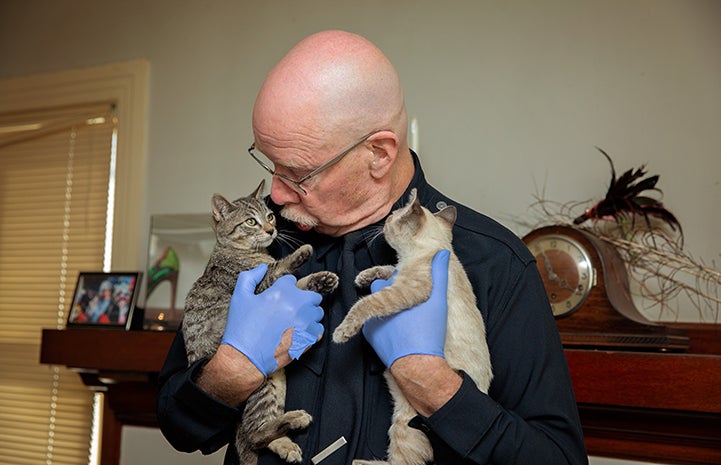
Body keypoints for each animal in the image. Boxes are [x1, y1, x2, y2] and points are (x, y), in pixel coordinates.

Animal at [181, 179, 336, 462]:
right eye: (251, 222)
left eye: (270, 216)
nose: (271, 229)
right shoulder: (259, 288)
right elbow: (281, 273)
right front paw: (301, 256)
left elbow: (293, 283)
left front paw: (319, 280)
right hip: (259, 383)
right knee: (254, 434)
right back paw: (293, 419)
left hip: (275, 386)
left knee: (255, 435)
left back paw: (285, 441)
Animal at [334, 188, 492, 464]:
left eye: (392, 217)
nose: (384, 220)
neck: (435, 250)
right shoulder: (398, 277)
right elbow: (388, 269)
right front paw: (365, 276)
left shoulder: (405, 291)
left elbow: (365, 303)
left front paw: (342, 331)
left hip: (406, 426)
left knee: (404, 462)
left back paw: (358, 462)